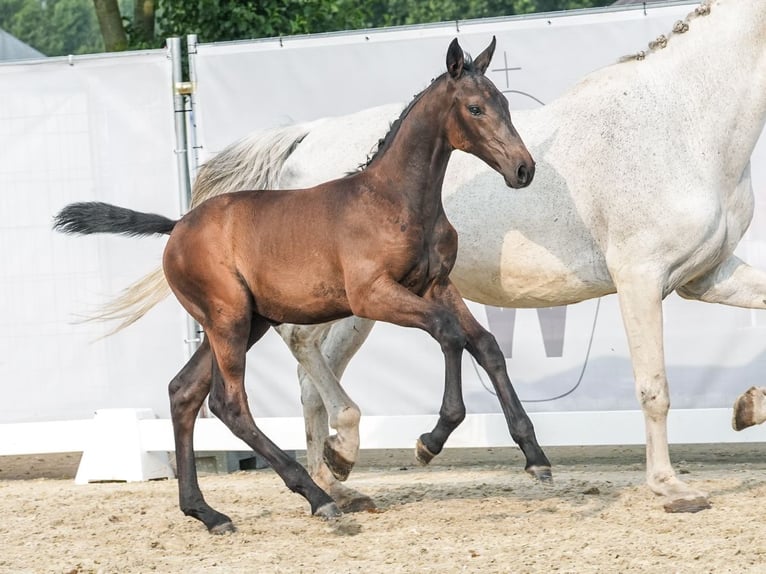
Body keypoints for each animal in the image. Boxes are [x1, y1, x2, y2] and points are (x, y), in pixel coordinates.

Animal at [54, 38, 548, 536]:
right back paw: (317, 497)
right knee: (228, 403)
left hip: (242, 322)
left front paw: (535, 457)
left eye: (505, 104)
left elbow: (485, 345)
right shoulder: (372, 295)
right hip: (229, 319)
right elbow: (448, 333)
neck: (396, 200)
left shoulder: (436, 284)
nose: (523, 169)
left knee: (184, 392)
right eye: (475, 108)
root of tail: (177, 226)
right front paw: (430, 439)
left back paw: (207, 512)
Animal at [97, 0, 766, 512]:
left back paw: (334, 481)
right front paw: (671, 488)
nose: (522, 170)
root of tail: (303, 137)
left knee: (302, 375)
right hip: (338, 305)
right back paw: (335, 463)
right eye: (475, 107)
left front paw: (747, 408)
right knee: (302, 355)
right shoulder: (640, 278)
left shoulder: (706, 276)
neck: (681, 122)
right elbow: (654, 386)